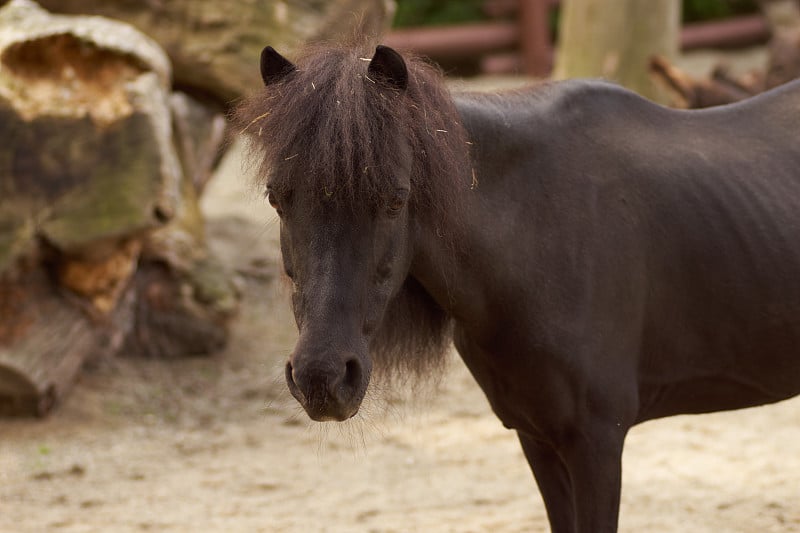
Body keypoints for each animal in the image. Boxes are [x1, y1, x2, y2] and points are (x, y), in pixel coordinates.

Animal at [234, 42, 800, 532]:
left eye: (395, 200)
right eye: (277, 198)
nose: (322, 377)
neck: (536, 235)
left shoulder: (597, 442)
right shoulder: (537, 436)